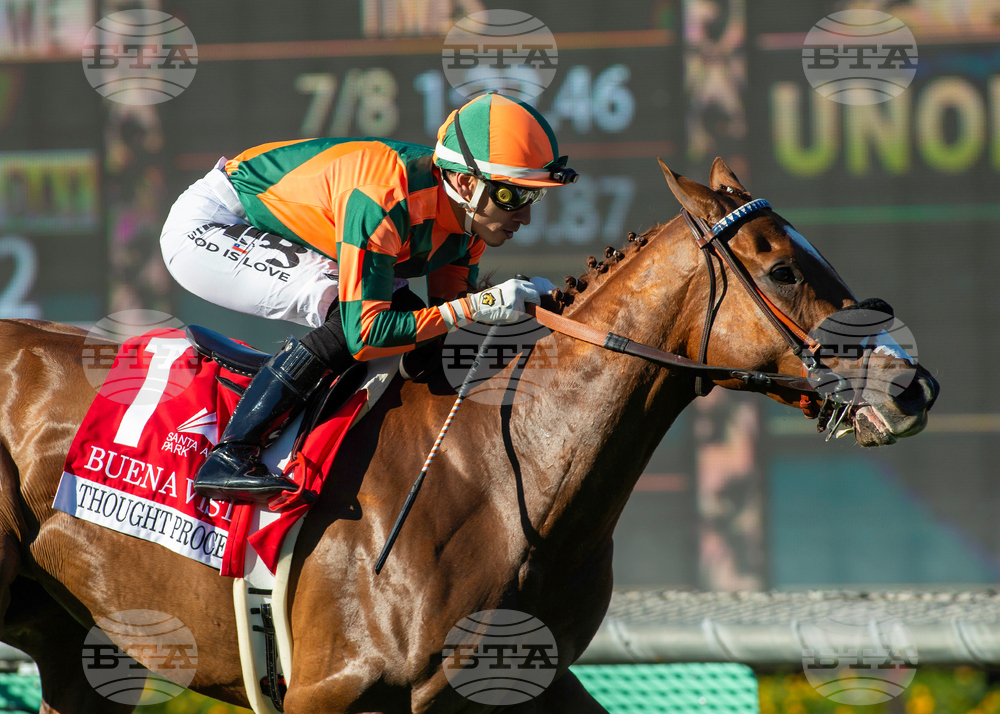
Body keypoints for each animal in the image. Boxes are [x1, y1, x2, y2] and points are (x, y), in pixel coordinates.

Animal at [0, 158, 938, 713]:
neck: (500, 476)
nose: (911, 385)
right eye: (781, 268)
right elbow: (358, 315)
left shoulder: (527, 681)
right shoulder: (329, 690)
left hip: (79, 646)